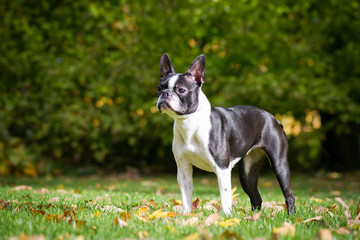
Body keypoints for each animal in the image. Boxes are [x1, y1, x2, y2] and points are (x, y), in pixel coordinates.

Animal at [157, 53, 296, 215]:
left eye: (181, 90)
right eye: (159, 88)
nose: (164, 94)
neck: (190, 123)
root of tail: (274, 119)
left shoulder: (222, 168)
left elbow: (224, 196)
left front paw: (226, 216)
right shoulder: (183, 169)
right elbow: (186, 196)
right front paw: (186, 215)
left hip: (279, 164)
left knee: (289, 193)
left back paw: (291, 216)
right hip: (247, 172)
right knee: (256, 196)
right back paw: (255, 216)